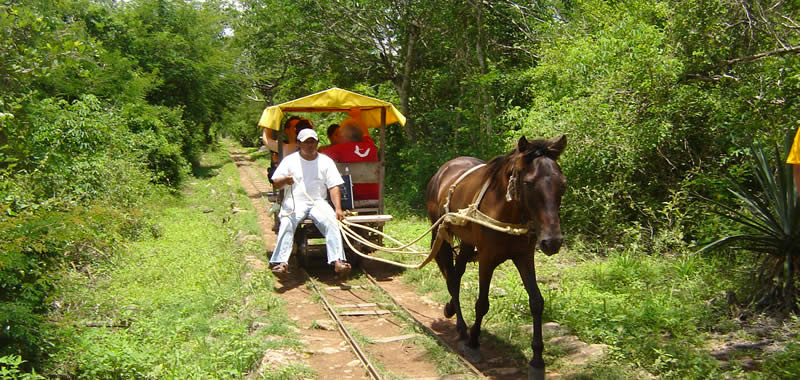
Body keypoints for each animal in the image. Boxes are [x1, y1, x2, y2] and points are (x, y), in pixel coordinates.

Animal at [428, 136, 564, 380]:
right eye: (528, 183)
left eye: (562, 184)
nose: (552, 241)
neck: (507, 211)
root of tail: (443, 169)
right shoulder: (487, 259)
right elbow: (482, 303)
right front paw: (473, 343)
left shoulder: (524, 257)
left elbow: (537, 302)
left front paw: (537, 360)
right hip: (442, 236)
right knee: (451, 277)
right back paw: (462, 328)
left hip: (467, 242)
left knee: (455, 276)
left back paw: (452, 310)